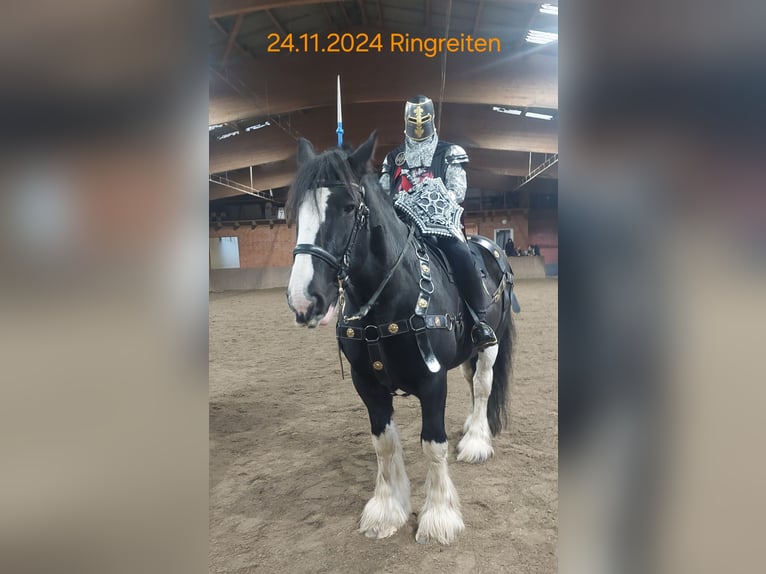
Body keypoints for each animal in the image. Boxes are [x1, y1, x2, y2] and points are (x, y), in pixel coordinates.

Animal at [284, 133, 516, 548]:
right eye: (296, 212)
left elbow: (433, 443)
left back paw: (476, 441)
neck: (389, 299)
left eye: (348, 207)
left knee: (483, 386)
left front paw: (438, 517)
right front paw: (386, 511)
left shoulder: (432, 380)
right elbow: (384, 443)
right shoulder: (367, 384)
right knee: (472, 384)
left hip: (490, 345)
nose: (304, 300)